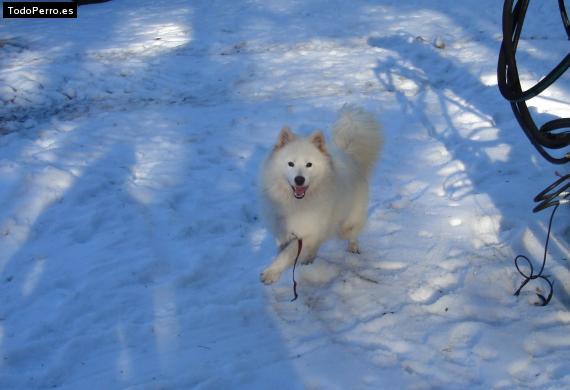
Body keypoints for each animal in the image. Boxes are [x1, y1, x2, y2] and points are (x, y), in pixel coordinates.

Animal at [258, 105, 382, 284]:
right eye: (290, 164)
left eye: (309, 164)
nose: (299, 179)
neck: (296, 203)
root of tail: (349, 156)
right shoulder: (282, 230)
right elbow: (283, 250)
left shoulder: (308, 231)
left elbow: (288, 253)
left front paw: (270, 273)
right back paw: (309, 259)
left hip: (348, 218)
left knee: (351, 232)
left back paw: (352, 247)